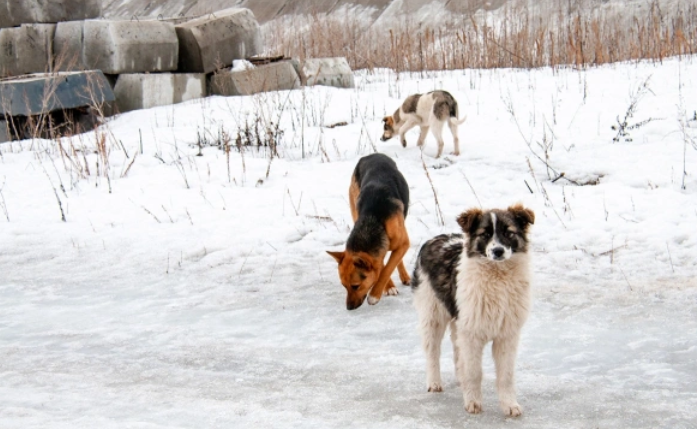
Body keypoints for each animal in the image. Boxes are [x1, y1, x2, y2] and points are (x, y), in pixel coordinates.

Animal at [324, 152, 408, 310]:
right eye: (344, 286)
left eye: (355, 286)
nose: (349, 308)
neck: (372, 218)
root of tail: (372, 155)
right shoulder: (378, 254)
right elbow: (382, 266)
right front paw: (388, 286)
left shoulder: (404, 243)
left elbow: (388, 267)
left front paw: (375, 295)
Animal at [410, 204, 536, 414]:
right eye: (484, 234)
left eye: (508, 232)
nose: (498, 251)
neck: (497, 276)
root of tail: (433, 239)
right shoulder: (471, 334)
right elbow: (474, 371)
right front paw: (473, 402)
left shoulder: (506, 335)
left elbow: (506, 375)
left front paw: (509, 405)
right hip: (433, 315)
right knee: (432, 351)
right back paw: (434, 383)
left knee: (456, 351)